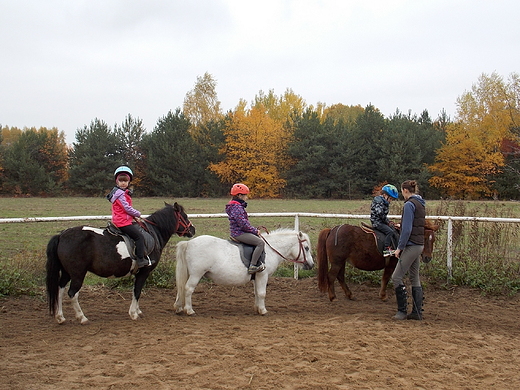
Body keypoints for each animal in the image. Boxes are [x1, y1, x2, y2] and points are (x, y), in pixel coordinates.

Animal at [44, 203, 194, 324]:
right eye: (185, 216)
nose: (193, 229)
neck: (152, 234)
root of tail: (61, 235)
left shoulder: (138, 273)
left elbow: (136, 290)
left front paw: (137, 311)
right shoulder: (144, 272)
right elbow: (138, 290)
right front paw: (133, 314)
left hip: (66, 272)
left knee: (60, 289)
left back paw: (60, 317)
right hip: (78, 274)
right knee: (72, 293)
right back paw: (82, 318)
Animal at [174, 230, 312, 316]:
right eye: (306, 248)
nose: (311, 265)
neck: (270, 250)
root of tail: (188, 243)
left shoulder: (257, 277)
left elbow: (256, 293)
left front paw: (257, 308)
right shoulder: (263, 276)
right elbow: (262, 293)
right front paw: (263, 310)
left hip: (189, 274)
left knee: (180, 289)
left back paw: (178, 308)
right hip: (196, 275)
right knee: (188, 289)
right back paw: (189, 310)